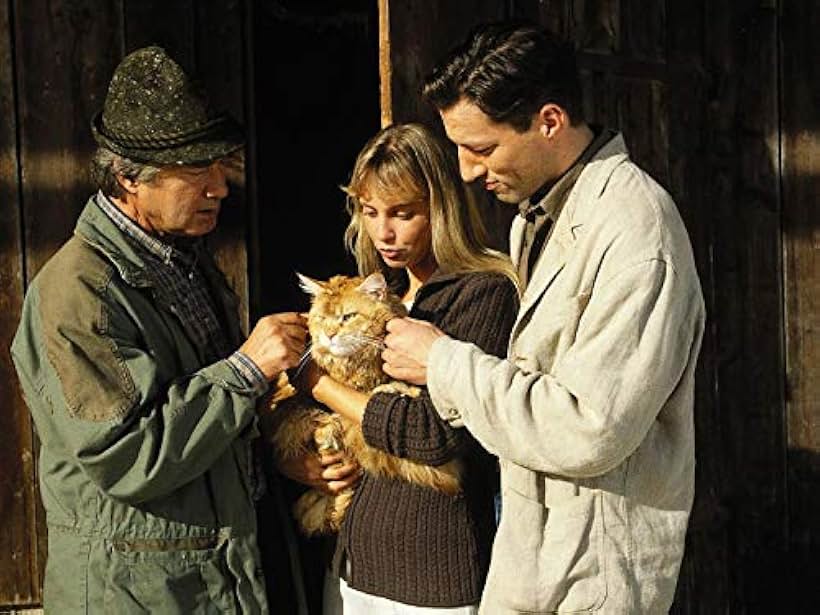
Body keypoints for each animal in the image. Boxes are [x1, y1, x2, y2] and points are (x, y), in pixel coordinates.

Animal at [266, 272, 464, 536]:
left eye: (348, 317)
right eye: (321, 319)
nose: (329, 335)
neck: (354, 367)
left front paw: (396, 388)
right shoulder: (284, 403)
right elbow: (305, 418)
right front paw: (327, 434)